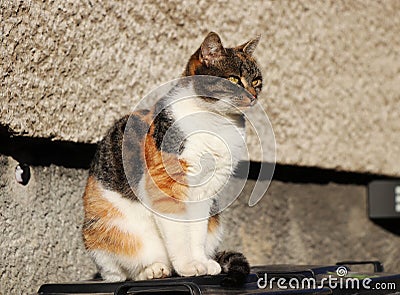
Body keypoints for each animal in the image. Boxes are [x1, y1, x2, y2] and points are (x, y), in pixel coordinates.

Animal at [83, 31, 260, 286]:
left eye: (256, 81)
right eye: (234, 80)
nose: (253, 96)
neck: (218, 122)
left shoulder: (205, 192)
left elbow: (196, 233)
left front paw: (200, 263)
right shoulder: (166, 185)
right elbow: (178, 234)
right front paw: (187, 267)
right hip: (106, 229)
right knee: (119, 273)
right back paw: (154, 270)